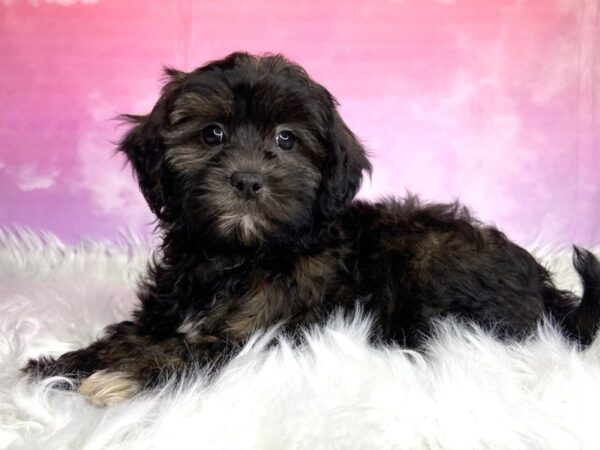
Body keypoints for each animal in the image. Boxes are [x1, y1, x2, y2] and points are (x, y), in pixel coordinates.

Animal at [23, 51, 600, 406]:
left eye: (286, 139)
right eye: (212, 134)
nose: (247, 180)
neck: (236, 255)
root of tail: (548, 293)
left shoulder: (262, 334)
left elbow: (194, 348)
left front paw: (123, 375)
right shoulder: (166, 311)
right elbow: (130, 333)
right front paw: (63, 364)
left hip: (435, 260)